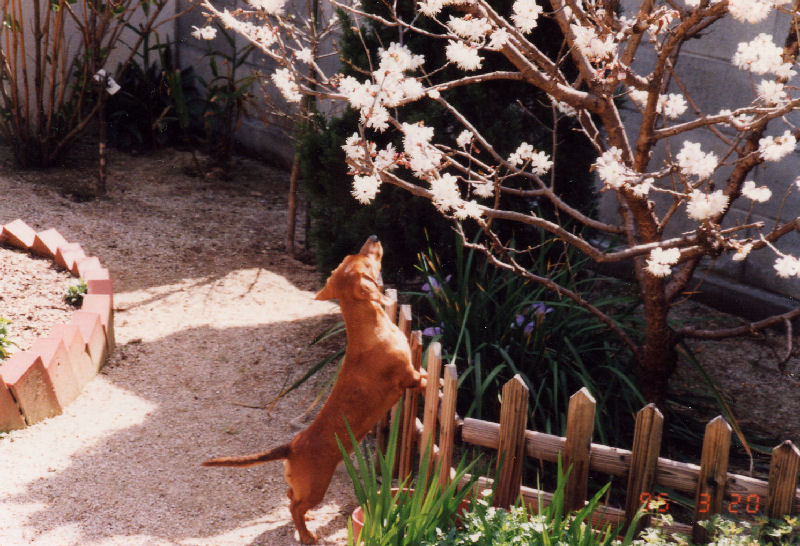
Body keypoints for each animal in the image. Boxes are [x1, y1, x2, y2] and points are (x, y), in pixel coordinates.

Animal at [202, 235, 427, 544]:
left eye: (352, 255)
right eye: (366, 261)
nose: (373, 238)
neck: (370, 328)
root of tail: (291, 447)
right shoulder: (407, 375)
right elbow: (420, 378)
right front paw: (430, 380)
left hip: (303, 486)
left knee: (289, 497)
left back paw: (307, 523)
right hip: (317, 487)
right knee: (294, 507)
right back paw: (307, 535)